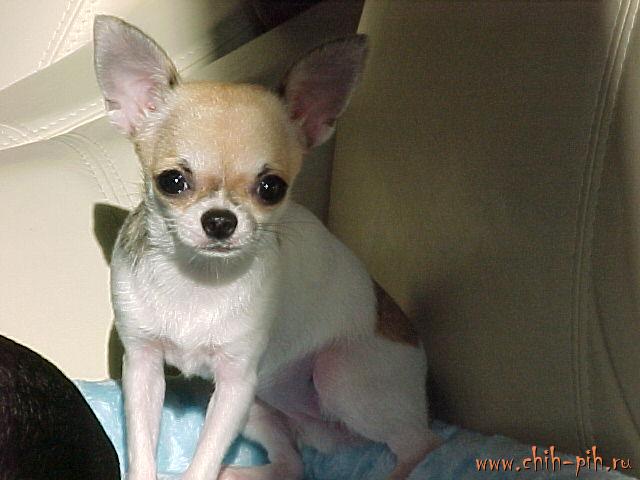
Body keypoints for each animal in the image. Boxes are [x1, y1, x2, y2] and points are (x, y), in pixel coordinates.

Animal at [93, 15, 440, 480]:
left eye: (272, 188)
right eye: (172, 181)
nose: (220, 220)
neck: (198, 279)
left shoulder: (236, 381)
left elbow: (202, 462)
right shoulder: (144, 368)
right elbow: (142, 449)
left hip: (337, 375)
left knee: (421, 443)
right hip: (259, 406)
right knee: (293, 463)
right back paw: (242, 471)